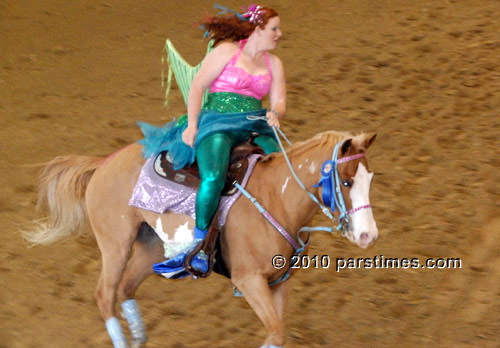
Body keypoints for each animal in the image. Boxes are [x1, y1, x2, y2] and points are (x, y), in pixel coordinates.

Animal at [22, 130, 376, 348]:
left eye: (369, 178)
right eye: (346, 182)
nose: (368, 235)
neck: (276, 198)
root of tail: (104, 163)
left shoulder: (280, 283)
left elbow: (277, 333)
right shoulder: (249, 281)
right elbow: (275, 333)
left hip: (151, 248)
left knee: (125, 289)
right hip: (115, 245)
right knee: (105, 295)